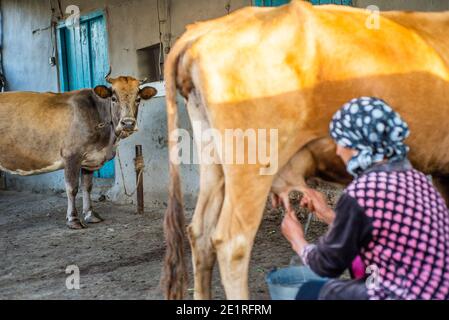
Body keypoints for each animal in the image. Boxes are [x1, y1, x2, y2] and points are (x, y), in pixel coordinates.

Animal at [0, 72, 158, 229]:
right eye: (113, 98)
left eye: (138, 99)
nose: (128, 123)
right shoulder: (71, 155)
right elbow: (72, 188)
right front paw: (73, 219)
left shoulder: (90, 159)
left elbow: (87, 187)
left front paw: (90, 215)